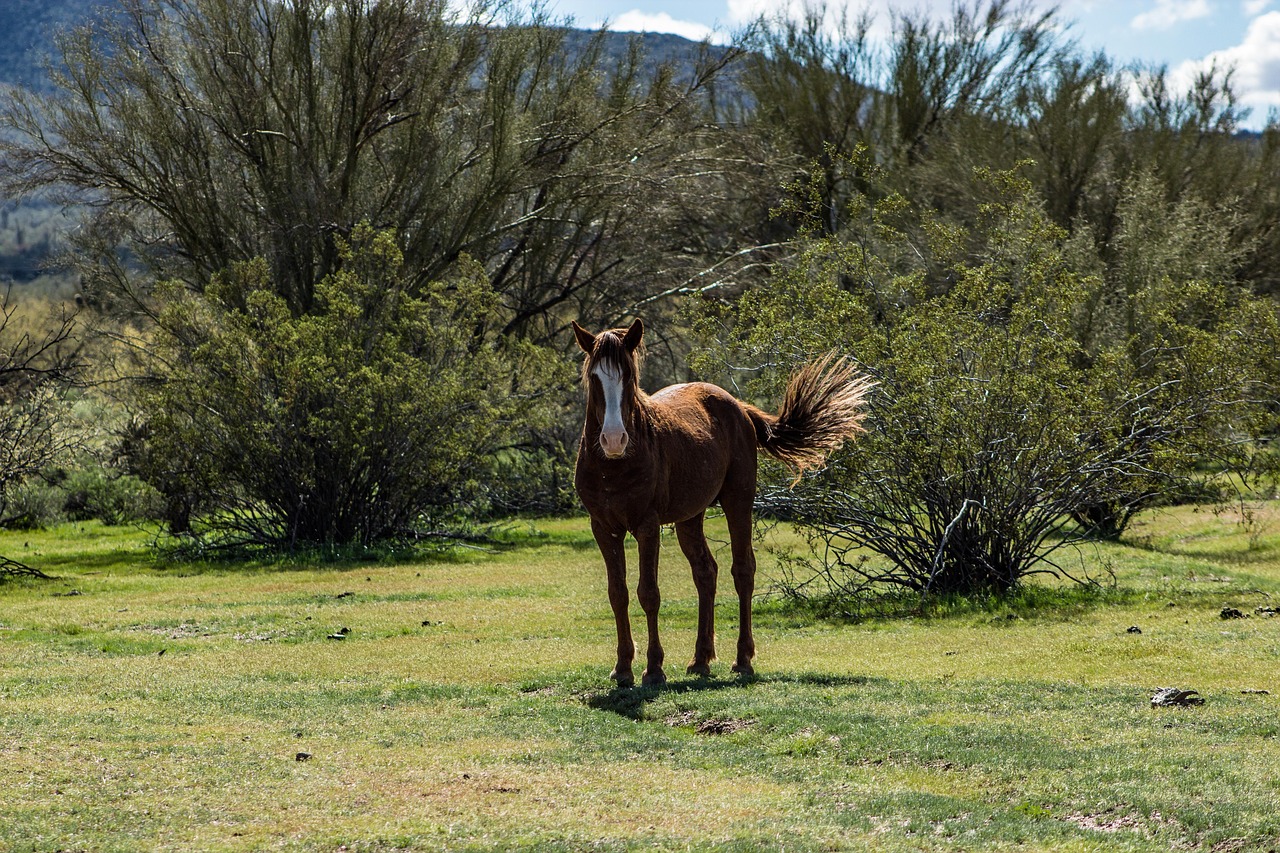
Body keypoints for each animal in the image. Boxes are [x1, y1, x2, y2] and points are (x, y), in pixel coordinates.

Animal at [576, 317, 875, 686]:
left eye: (629, 376)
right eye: (594, 377)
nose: (614, 439)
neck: (612, 468)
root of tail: (738, 407)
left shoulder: (647, 527)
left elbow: (648, 593)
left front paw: (654, 668)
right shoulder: (604, 528)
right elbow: (617, 594)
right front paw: (622, 668)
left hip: (738, 501)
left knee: (742, 570)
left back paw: (742, 659)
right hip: (689, 518)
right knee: (706, 572)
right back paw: (700, 659)